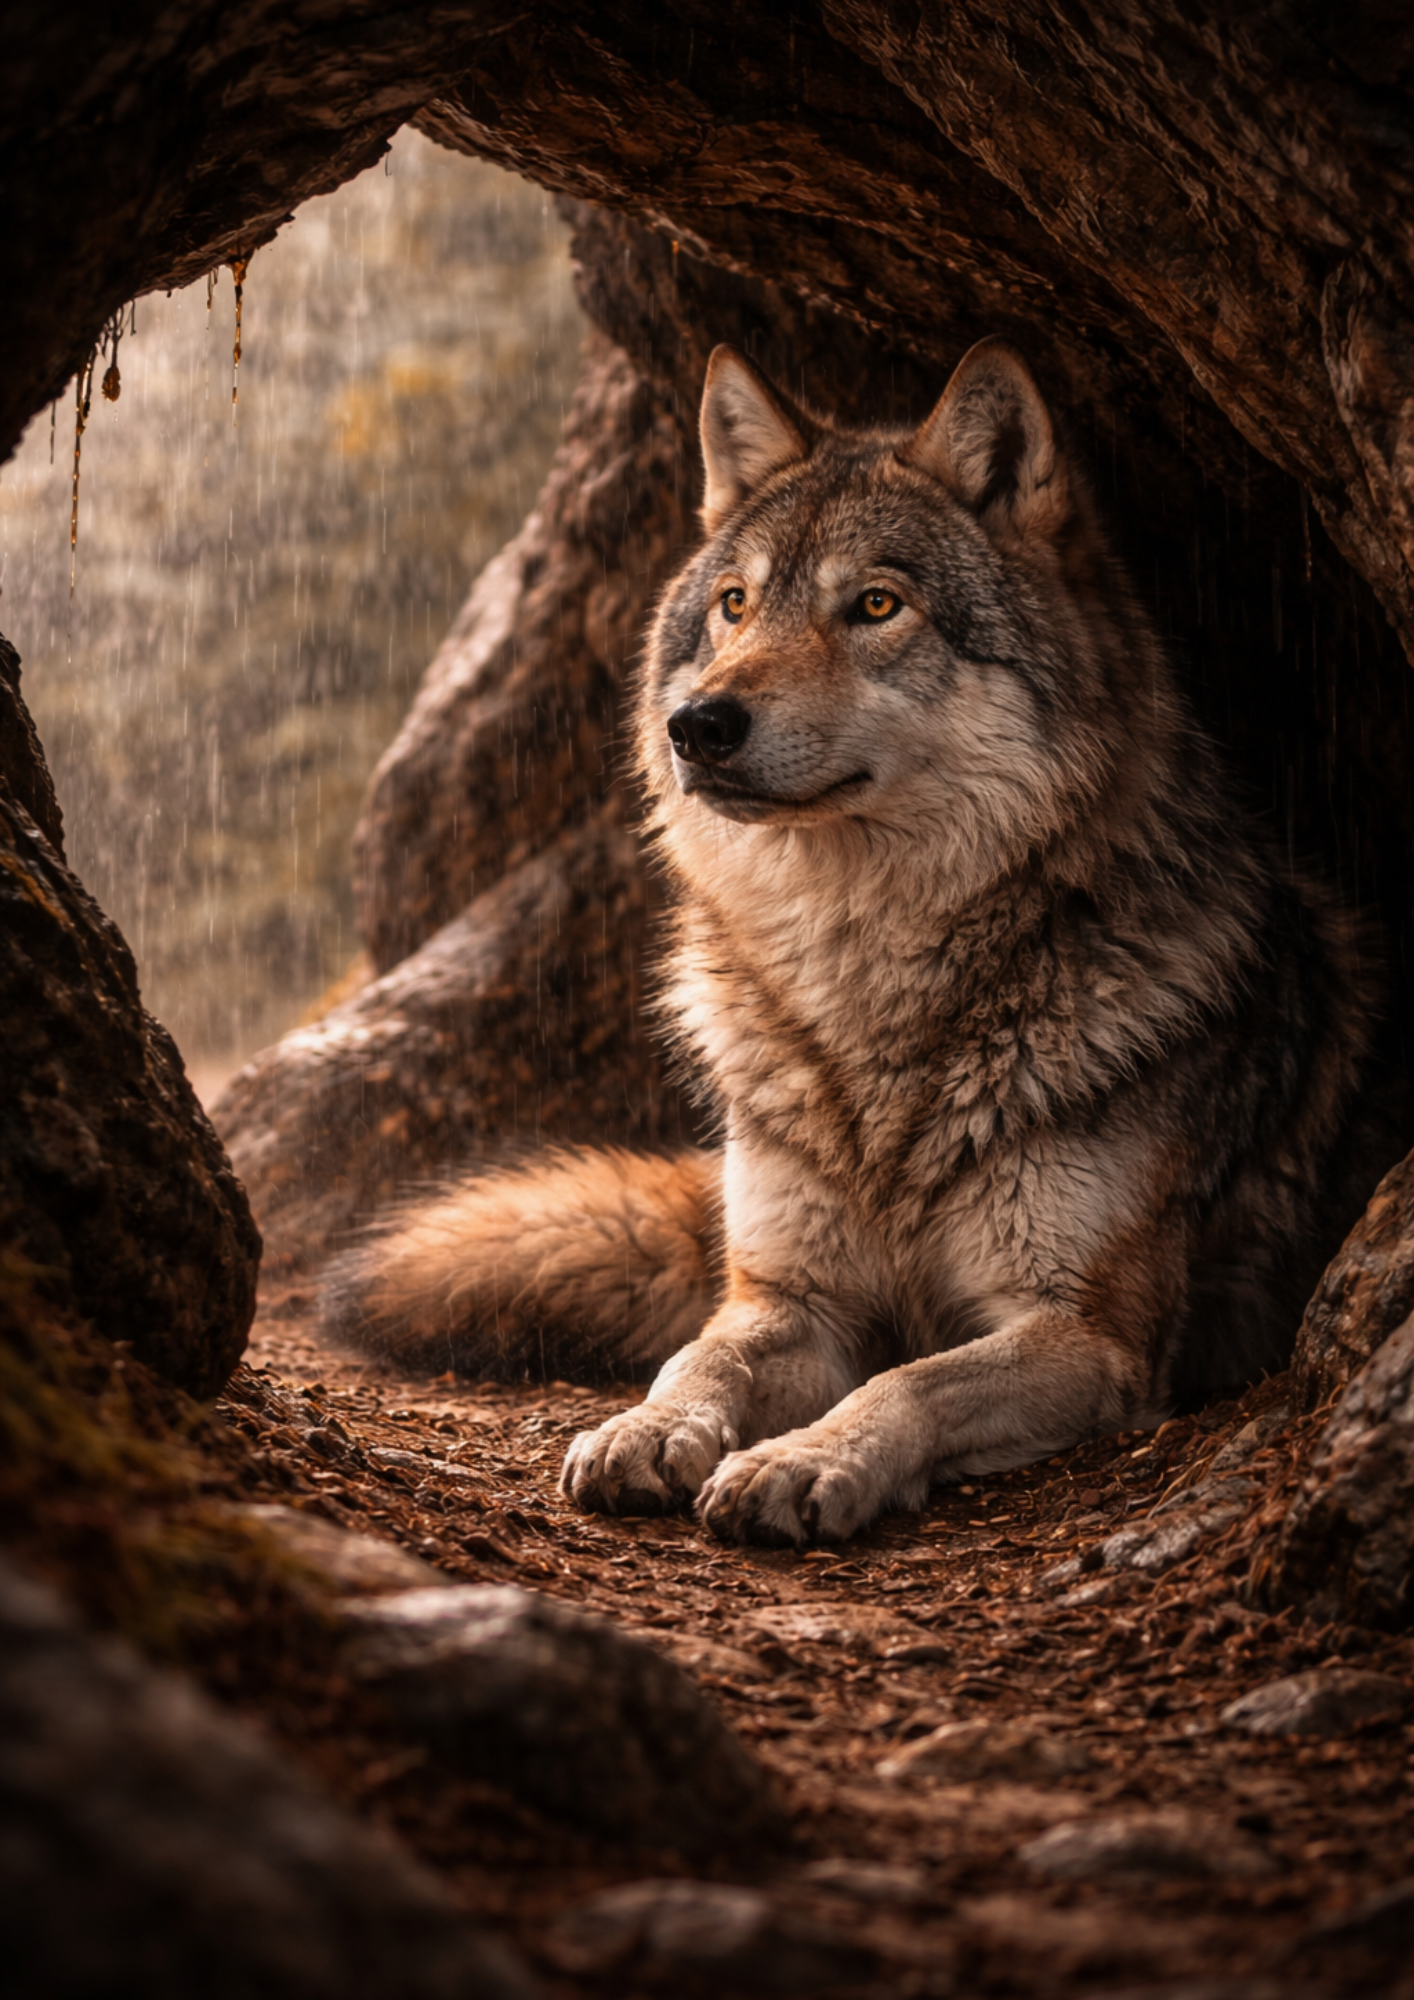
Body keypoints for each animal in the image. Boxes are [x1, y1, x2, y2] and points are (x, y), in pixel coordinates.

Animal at [323, 336, 1386, 1546]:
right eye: (734, 605)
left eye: (876, 604)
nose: (698, 723)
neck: (863, 985)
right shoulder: (791, 1297)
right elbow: (698, 1357)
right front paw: (646, 1430)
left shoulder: (1087, 1330)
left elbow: (910, 1380)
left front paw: (803, 1460)